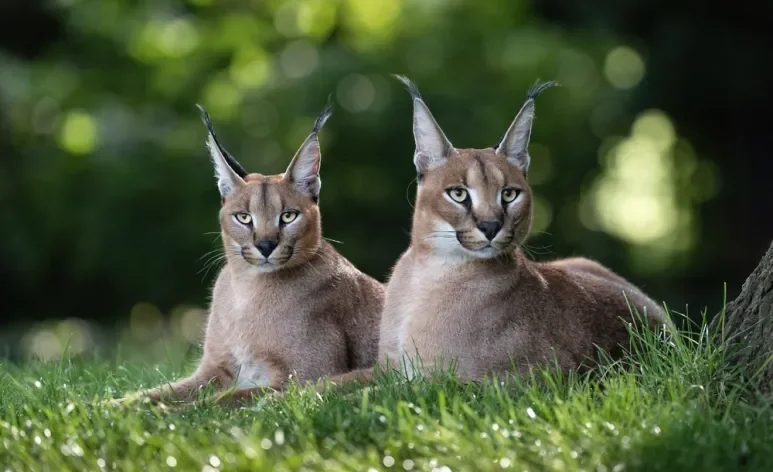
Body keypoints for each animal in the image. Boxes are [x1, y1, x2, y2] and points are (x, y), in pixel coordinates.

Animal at [120, 103, 382, 406]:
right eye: (243, 217)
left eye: (288, 216)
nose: (266, 245)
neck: (247, 290)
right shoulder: (214, 369)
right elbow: (150, 394)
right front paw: (101, 407)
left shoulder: (303, 376)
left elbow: (218, 402)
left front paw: (169, 411)